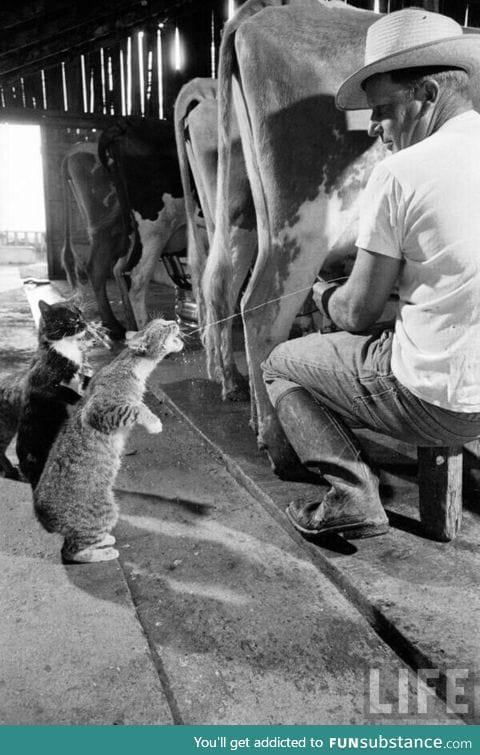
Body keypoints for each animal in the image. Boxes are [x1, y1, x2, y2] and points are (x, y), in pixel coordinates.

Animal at [33, 318, 184, 560]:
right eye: (163, 326)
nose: (174, 320)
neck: (131, 367)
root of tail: (42, 517)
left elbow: (137, 404)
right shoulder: (99, 411)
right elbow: (136, 407)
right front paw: (153, 422)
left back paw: (104, 541)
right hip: (106, 511)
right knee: (71, 551)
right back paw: (104, 552)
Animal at [203, 0, 390, 478]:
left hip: (244, 210)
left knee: (223, 282)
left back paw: (241, 399)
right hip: (304, 221)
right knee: (260, 306)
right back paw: (281, 447)